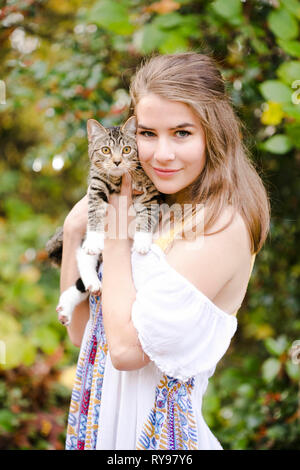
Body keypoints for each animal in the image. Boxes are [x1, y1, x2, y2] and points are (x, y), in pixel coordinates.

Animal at [45, 115, 161, 324]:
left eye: (126, 149)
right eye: (105, 150)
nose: (116, 162)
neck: (118, 179)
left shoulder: (151, 193)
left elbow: (147, 215)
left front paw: (142, 241)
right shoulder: (96, 186)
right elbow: (94, 214)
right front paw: (94, 240)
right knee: (83, 255)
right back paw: (89, 282)